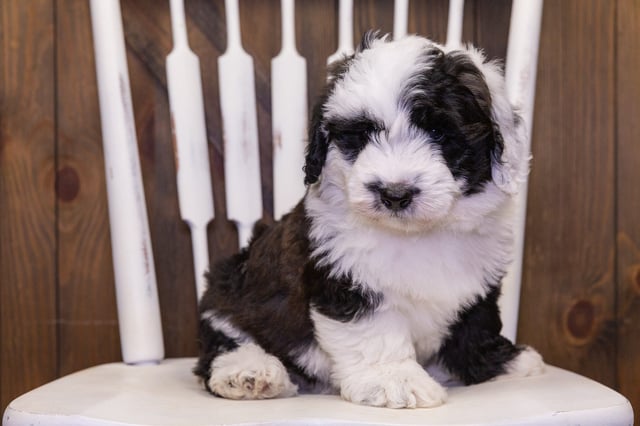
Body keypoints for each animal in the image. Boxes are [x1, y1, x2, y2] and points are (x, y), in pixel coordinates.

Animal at [192, 31, 544, 408]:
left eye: (440, 134)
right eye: (360, 135)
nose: (394, 193)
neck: (416, 234)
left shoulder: (479, 284)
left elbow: (476, 326)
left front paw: (502, 363)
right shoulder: (347, 278)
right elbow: (374, 331)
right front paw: (394, 380)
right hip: (230, 299)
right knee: (222, 347)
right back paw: (250, 373)